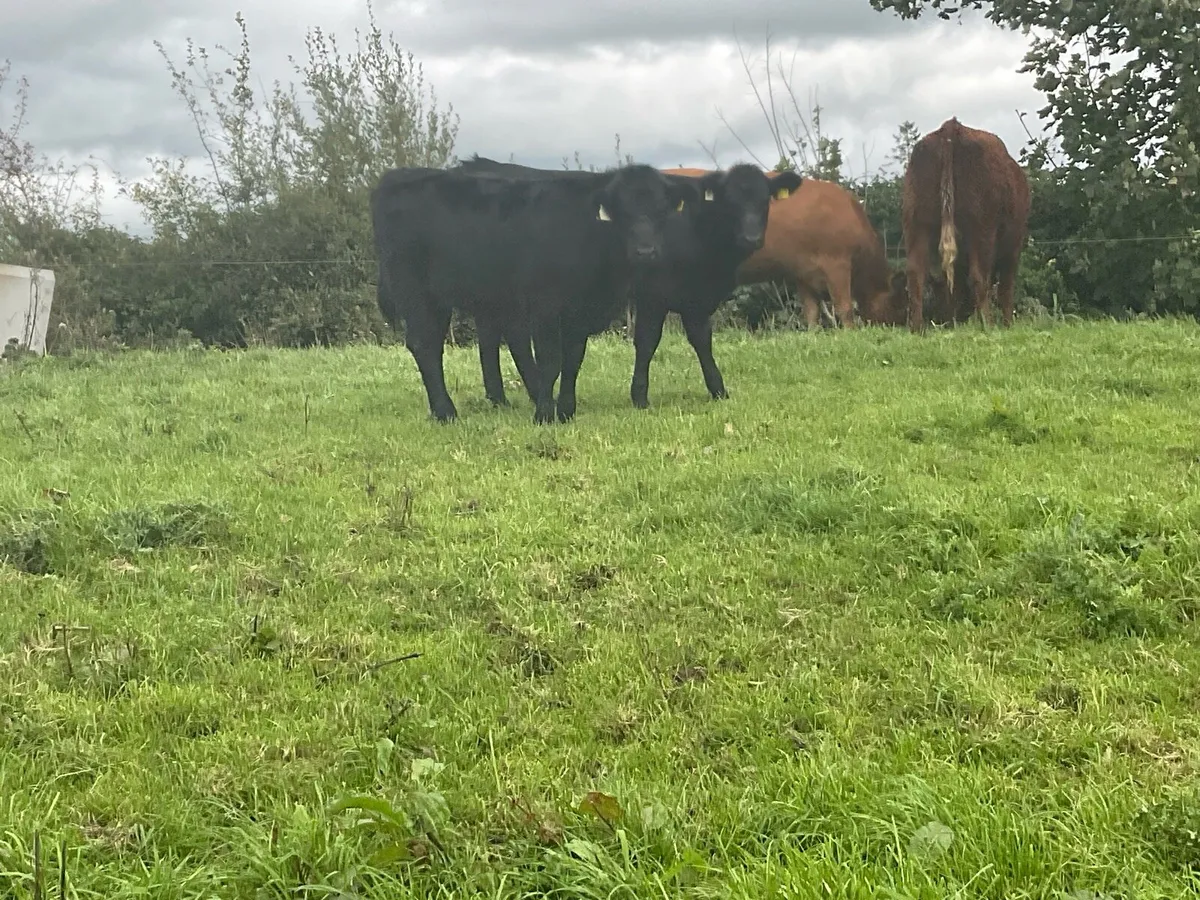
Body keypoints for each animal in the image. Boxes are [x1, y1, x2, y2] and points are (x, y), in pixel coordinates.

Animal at [370, 163, 700, 424]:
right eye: (622, 211)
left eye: (661, 211)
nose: (646, 251)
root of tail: (397, 177)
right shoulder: (545, 305)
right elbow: (550, 361)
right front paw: (544, 414)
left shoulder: (578, 312)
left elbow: (573, 360)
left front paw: (566, 410)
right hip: (415, 292)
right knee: (424, 345)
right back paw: (446, 412)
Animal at [724, 174, 905, 329]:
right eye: (898, 304)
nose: (903, 326)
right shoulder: (837, 263)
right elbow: (844, 308)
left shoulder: (803, 273)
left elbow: (811, 312)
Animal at [901, 117, 1031, 332]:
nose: (945, 319)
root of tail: (951, 128)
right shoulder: (1013, 247)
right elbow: (1005, 288)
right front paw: (1007, 325)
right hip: (982, 229)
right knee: (979, 277)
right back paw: (988, 324)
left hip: (916, 224)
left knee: (916, 273)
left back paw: (918, 328)